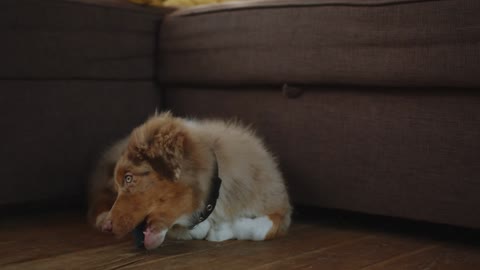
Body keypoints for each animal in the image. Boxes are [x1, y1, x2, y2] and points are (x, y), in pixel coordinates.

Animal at [88, 112, 292, 249]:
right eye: (120, 183)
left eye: (129, 178)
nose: (107, 227)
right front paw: (212, 229)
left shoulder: (277, 203)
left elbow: (263, 229)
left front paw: (223, 228)